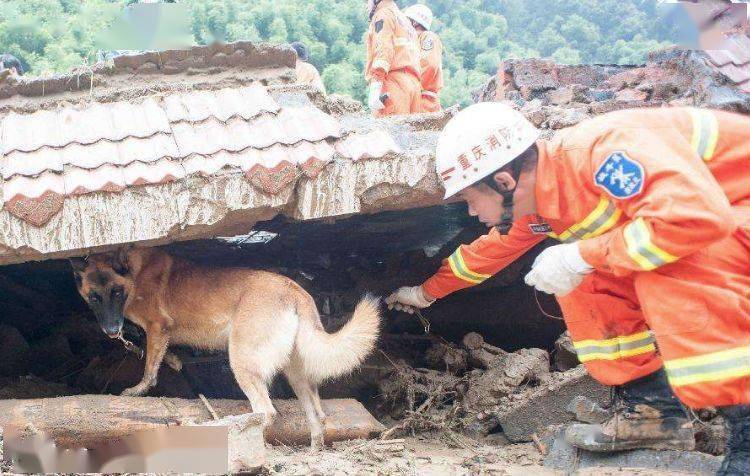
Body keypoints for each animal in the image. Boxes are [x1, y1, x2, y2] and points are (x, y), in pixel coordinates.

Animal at [70, 247, 382, 448]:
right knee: (317, 417)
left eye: (116, 292)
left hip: (242, 362)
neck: (134, 273)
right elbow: (160, 357)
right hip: (297, 376)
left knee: (266, 411)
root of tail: (295, 291)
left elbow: (149, 369)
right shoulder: (159, 334)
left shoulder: (157, 327)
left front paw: (139, 389)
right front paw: (173, 361)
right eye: (94, 297)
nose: (112, 331)